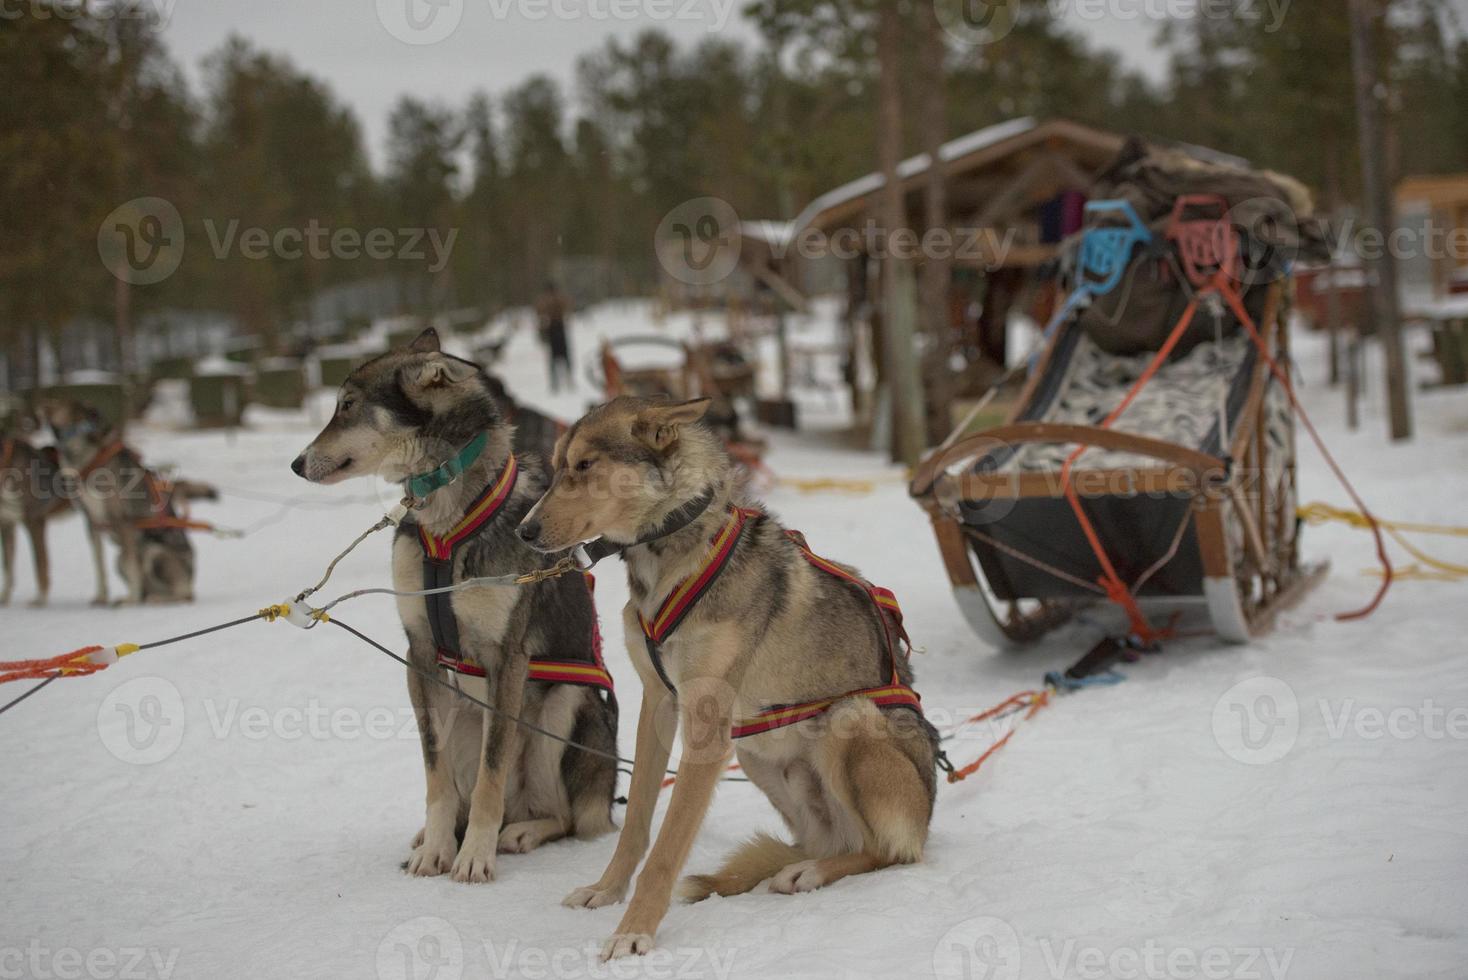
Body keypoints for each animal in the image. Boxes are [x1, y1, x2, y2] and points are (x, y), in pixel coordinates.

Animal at [289, 327, 616, 880]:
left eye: (348, 405)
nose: (295, 464)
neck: (446, 525)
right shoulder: (419, 655)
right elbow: (435, 774)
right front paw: (438, 848)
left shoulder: (506, 661)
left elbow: (491, 774)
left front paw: (474, 856)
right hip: (462, 713)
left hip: (564, 707)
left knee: (564, 816)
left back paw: (523, 831)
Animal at [519, 396, 939, 956]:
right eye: (558, 464)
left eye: (585, 465)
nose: (523, 530)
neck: (671, 549)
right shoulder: (659, 706)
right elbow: (636, 827)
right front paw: (607, 891)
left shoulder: (705, 729)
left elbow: (667, 849)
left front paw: (633, 931)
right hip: (756, 751)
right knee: (825, 842)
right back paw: (786, 867)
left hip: (847, 720)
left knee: (889, 851)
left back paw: (812, 873)